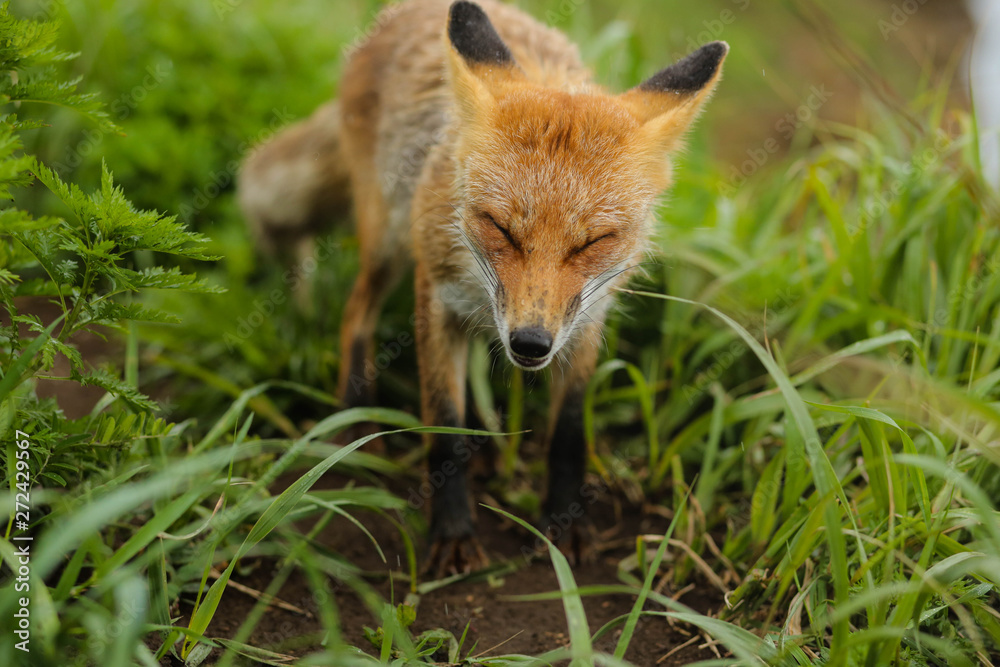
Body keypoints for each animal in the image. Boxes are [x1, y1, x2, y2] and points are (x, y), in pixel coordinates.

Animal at [238, 0, 727, 574]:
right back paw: (354, 422)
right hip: (387, 243)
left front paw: (563, 523)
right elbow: (443, 428)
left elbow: (568, 433)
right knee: (356, 312)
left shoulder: (585, 321)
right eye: (500, 228)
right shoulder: (436, 297)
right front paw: (452, 532)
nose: (530, 344)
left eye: (593, 242)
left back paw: (487, 445)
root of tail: (399, 13)